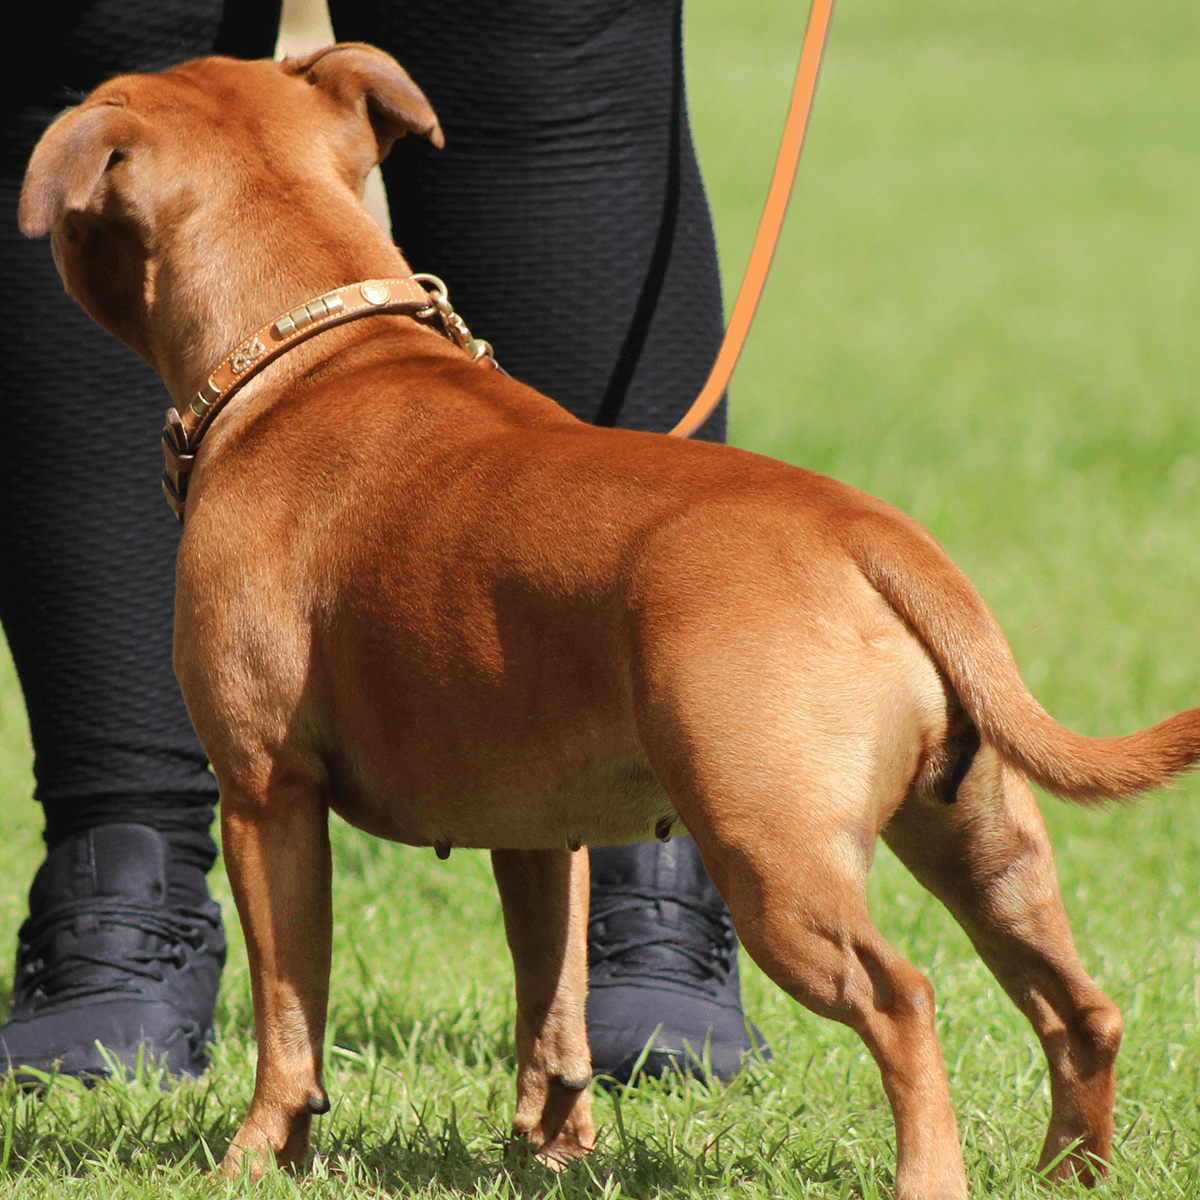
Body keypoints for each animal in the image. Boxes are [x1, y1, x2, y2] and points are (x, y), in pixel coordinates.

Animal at [16, 46, 1200, 1200]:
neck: (309, 355)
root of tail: (866, 534)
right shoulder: (538, 831)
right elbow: (553, 1012)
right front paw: (548, 1155)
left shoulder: (268, 799)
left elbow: (288, 1017)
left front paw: (261, 1159)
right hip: (987, 850)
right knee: (1078, 1010)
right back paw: (1073, 1174)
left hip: (777, 866)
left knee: (904, 1000)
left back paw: (931, 1177)